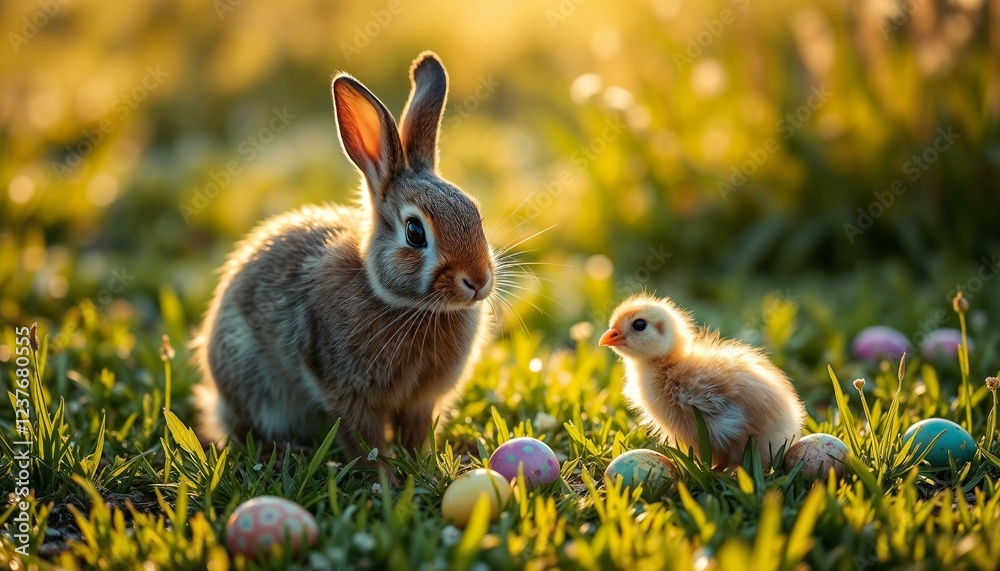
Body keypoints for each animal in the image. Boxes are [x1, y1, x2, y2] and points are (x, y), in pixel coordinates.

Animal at [192, 52, 496, 472]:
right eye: (415, 232)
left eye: (475, 213)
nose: (479, 281)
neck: (407, 306)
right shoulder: (346, 392)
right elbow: (362, 438)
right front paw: (384, 477)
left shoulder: (421, 401)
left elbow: (414, 433)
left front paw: (420, 466)